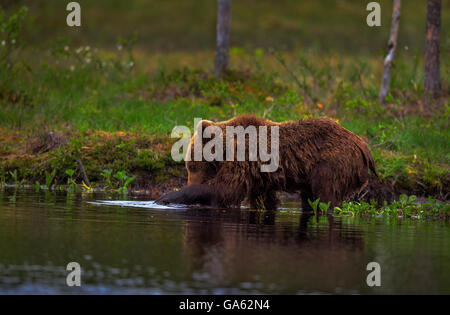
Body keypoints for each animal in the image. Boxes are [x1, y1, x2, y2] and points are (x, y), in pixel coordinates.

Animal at [156, 115, 378, 211]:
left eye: (190, 166)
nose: (190, 181)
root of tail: (364, 147)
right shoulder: (259, 175)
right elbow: (263, 200)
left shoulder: (241, 160)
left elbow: (224, 190)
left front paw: (166, 197)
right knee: (309, 197)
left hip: (331, 164)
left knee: (327, 196)